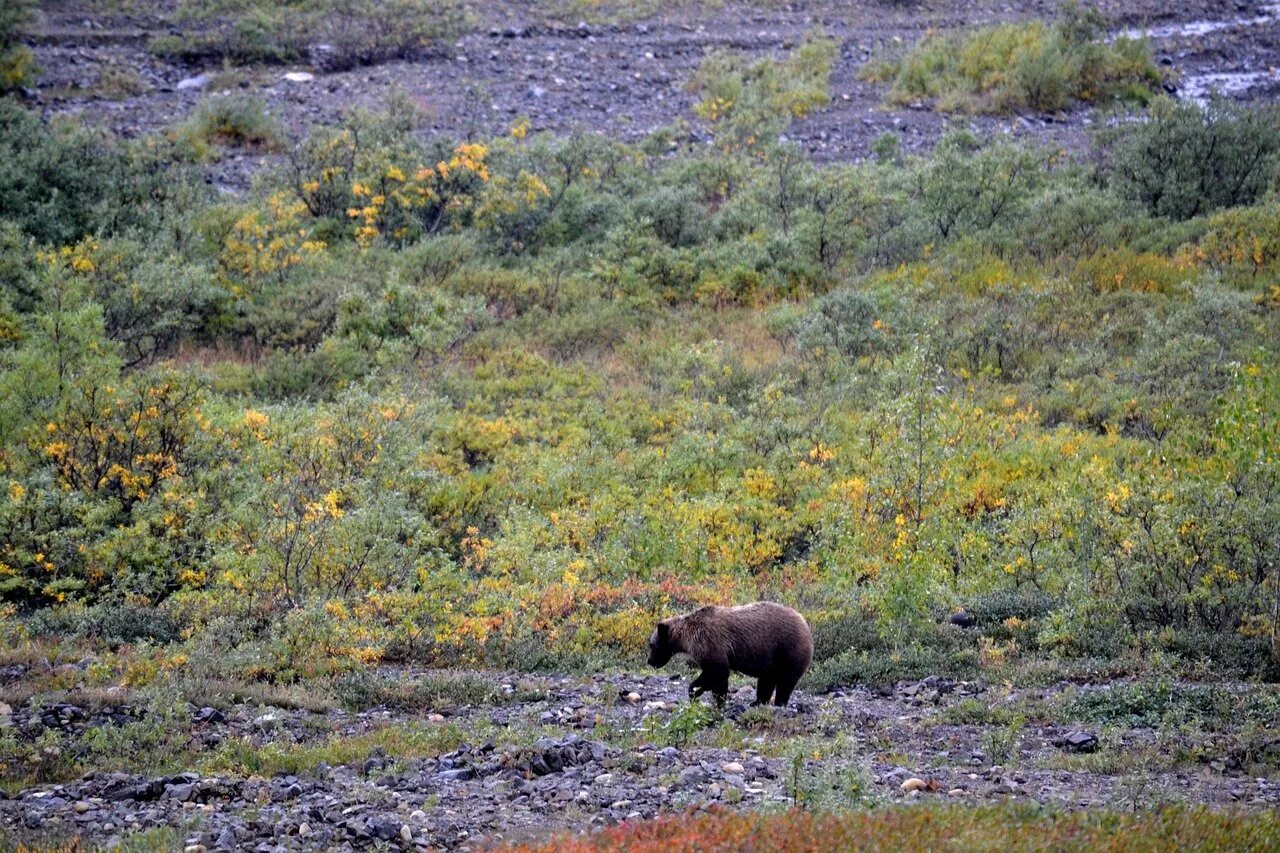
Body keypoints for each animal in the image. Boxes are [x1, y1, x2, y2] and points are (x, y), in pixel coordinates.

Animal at [645, 601, 814, 706]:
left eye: (652, 645)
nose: (650, 661)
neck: (686, 638)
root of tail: (805, 623)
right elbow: (717, 677)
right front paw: (710, 696)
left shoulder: (709, 642)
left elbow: (717, 672)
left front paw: (697, 690)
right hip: (772, 659)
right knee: (767, 680)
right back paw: (757, 701)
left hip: (788, 649)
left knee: (786, 680)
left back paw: (779, 702)